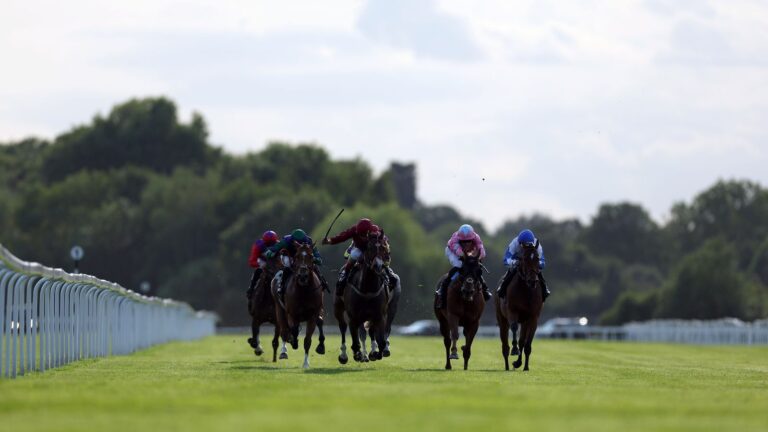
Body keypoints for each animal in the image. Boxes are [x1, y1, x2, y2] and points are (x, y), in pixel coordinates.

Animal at [332, 231, 390, 362]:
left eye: (383, 248)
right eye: (369, 248)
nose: (378, 266)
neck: (368, 289)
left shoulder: (380, 315)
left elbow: (381, 341)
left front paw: (375, 353)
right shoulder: (353, 316)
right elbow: (355, 340)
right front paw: (358, 354)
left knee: (369, 331)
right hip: (338, 307)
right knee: (343, 327)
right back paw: (344, 355)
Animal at [496, 241, 544, 370]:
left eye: (537, 258)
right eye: (524, 258)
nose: (532, 281)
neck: (526, 290)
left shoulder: (533, 317)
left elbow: (527, 343)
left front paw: (525, 366)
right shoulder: (512, 311)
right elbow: (514, 327)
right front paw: (514, 349)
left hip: (524, 321)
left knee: (522, 341)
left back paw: (518, 363)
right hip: (502, 319)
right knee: (505, 345)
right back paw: (507, 365)